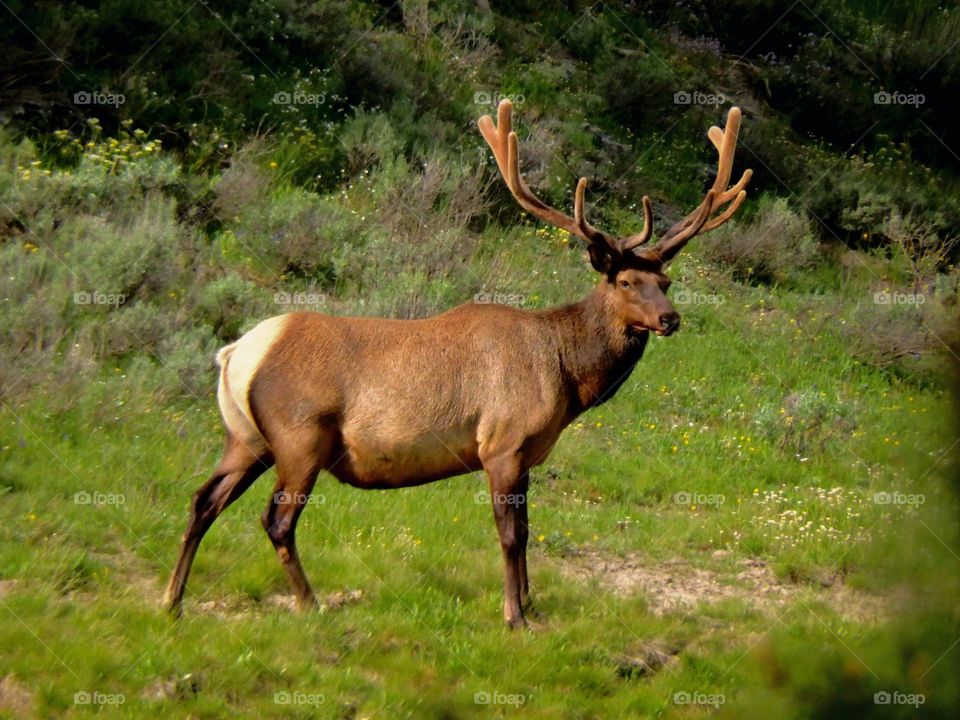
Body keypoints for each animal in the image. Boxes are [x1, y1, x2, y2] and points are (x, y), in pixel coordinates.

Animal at [163, 100, 751, 628]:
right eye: (626, 281)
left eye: (666, 280)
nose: (670, 318)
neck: (565, 374)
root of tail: (235, 353)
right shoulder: (502, 443)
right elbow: (510, 534)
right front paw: (515, 616)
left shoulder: (526, 455)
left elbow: (528, 530)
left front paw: (531, 604)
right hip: (300, 436)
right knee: (277, 520)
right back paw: (310, 605)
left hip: (246, 438)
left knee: (202, 500)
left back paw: (173, 601)